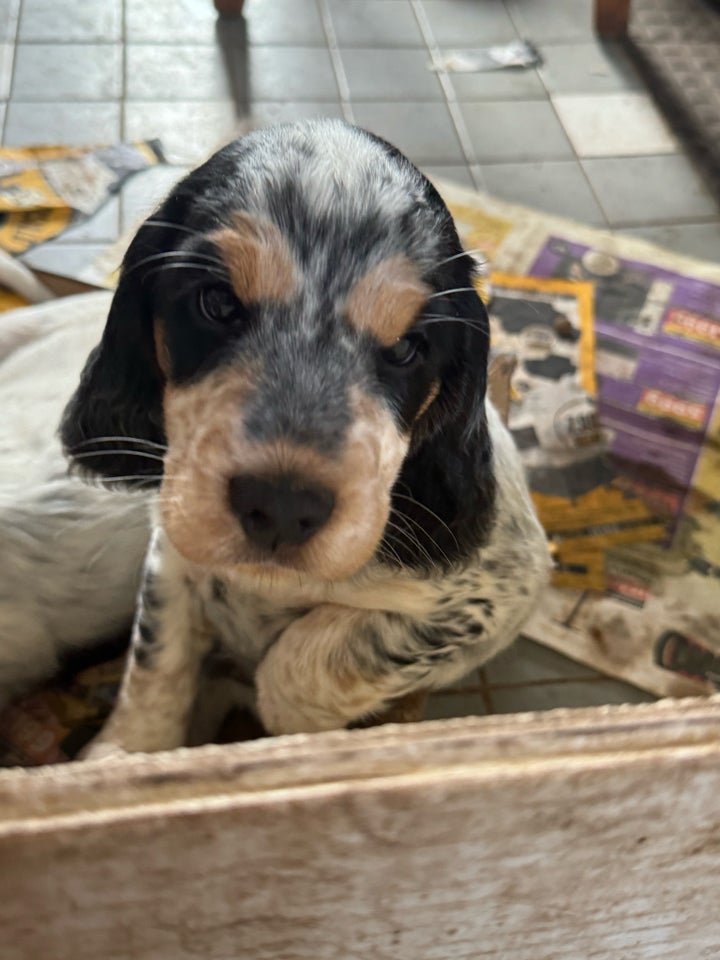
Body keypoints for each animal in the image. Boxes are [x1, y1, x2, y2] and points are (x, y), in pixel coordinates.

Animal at [4, 120, 552, 752]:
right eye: (217, 303)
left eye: (407, 349)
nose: (283, 507)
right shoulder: (174, 542)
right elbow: (158, 658)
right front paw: (126, 751)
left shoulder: (495, 594)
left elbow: (306, 664)